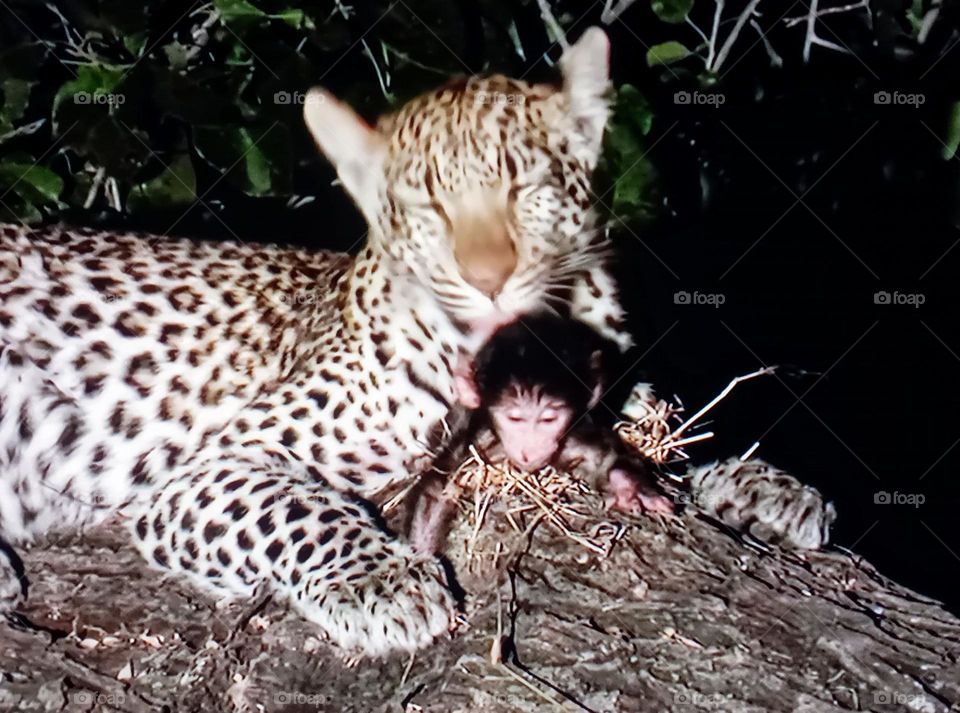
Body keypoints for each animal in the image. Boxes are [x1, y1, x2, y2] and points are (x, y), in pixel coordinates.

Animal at [409, 314, 674, 555]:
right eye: (515, 419)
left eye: (548, 419)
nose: (529, 450)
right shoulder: (475, 443)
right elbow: (435, 493)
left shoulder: (570, 438)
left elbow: (600, 455)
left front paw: (629, 486)